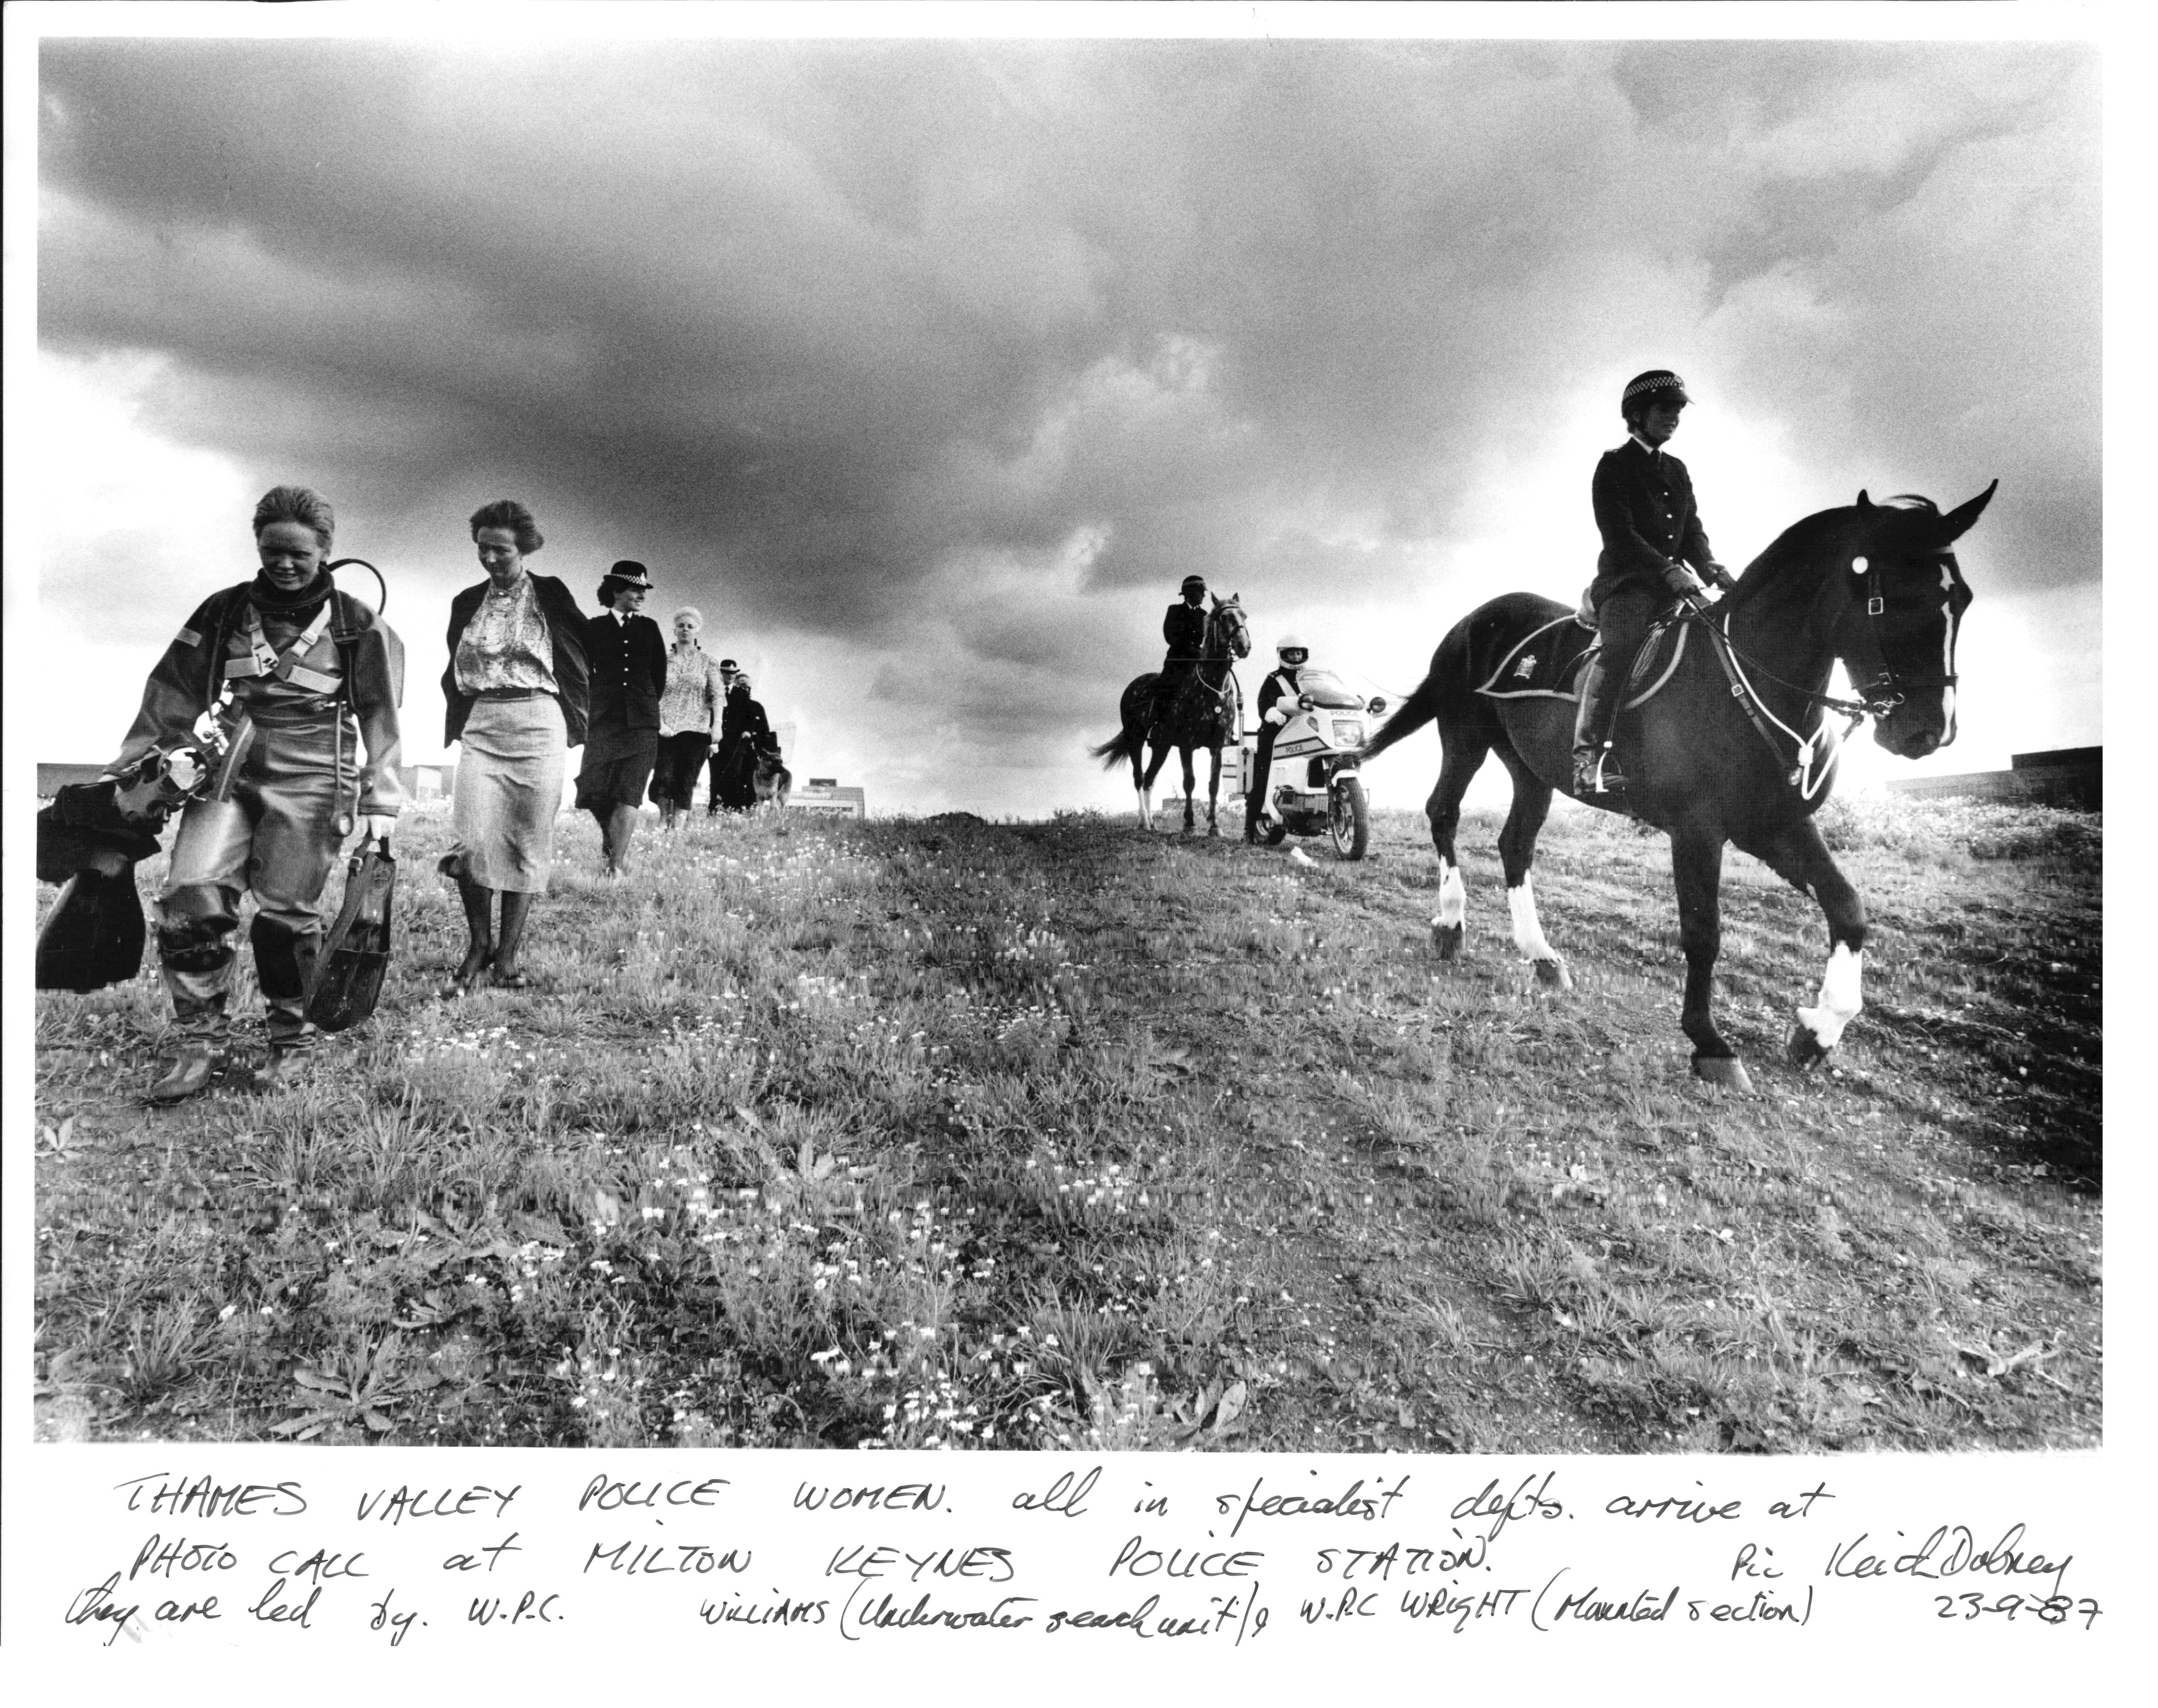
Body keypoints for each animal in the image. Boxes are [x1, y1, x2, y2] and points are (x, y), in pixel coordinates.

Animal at [1096, 596, 1251, 833]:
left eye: (1244, 615)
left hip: (1162, 746)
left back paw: (1152, 823)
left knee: (1149, 778)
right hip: (1136, 740)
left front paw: (1214, 827)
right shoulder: (1186, 745)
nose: (1245, 646)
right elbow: (1189, 782)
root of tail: (1132, 687)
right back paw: (1144, 822)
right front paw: (1189, 824)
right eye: (1225, 617)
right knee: (1139, 778)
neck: (1212, 688)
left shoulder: (1218, 746)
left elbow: (1213, 785)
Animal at [1355, 484, 1994, 1096]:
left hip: (1530, 771)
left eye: (1960, 598)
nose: (1929, 731)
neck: (1744, 680)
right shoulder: (1697, 832)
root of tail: (1474, 619)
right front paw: (1711, 1044)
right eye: (1888, 598)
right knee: (1443, 813)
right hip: (1464, 737)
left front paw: (1818, 1029)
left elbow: (1847, 908)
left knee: (1515, 845)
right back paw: (1449, 924)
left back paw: (1542, 957)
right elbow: (1703, 932)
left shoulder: (1775, 826)